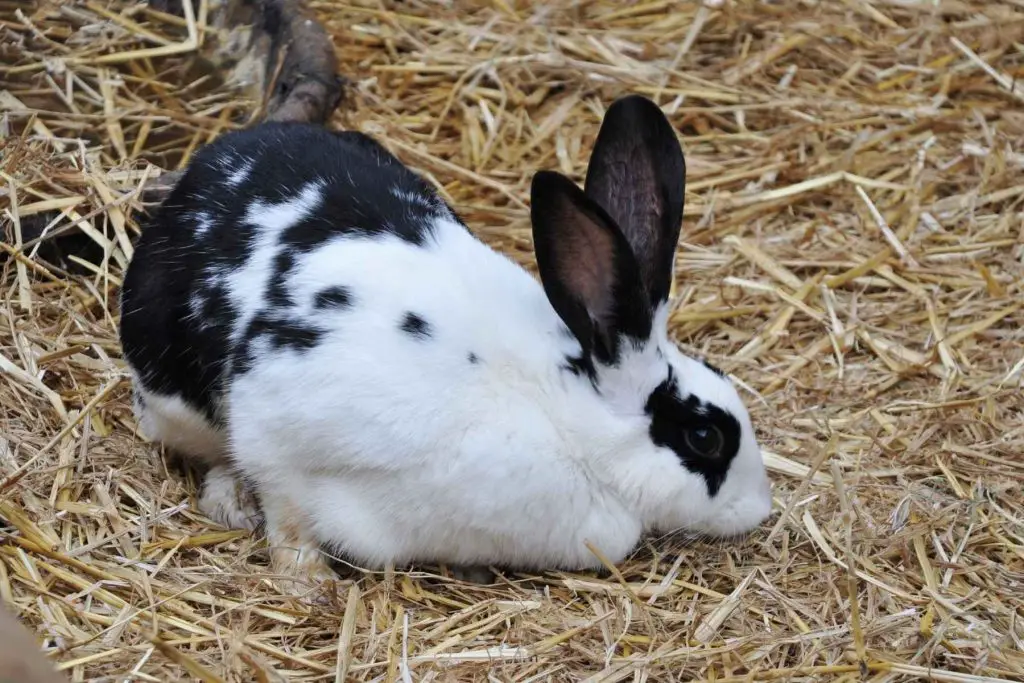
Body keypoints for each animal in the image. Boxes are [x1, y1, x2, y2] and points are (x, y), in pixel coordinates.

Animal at [119, 94, 773, 584]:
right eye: (706, 437)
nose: (761, 510)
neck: (561, 416)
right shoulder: (278, 433)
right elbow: (289, 516)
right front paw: (308, 584)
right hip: (177, 403)